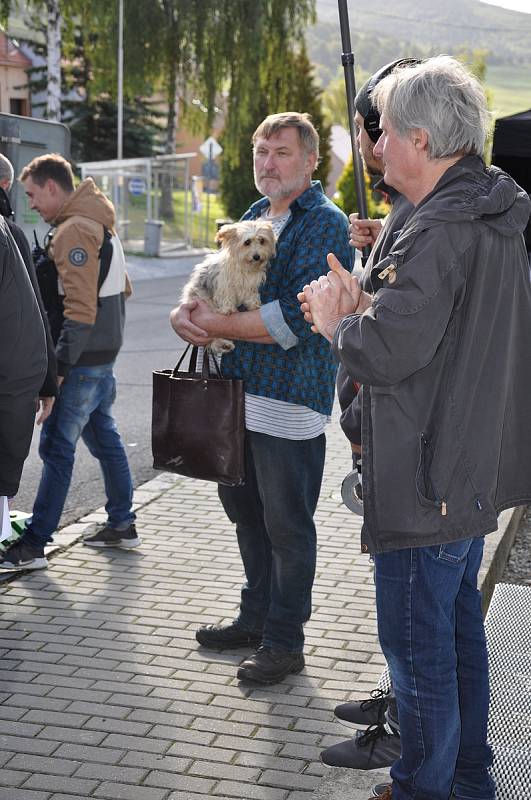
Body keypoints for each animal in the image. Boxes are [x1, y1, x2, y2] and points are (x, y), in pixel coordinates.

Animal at [181, 220, 276, 354]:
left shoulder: (249, 285)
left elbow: (251, 295)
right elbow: (226, 295)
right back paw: (223, 343)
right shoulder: (224, 284)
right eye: (247, 242)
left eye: (262, 240)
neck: (244, 267)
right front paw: (229, 309)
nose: (257, 256)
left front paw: (254, 305)